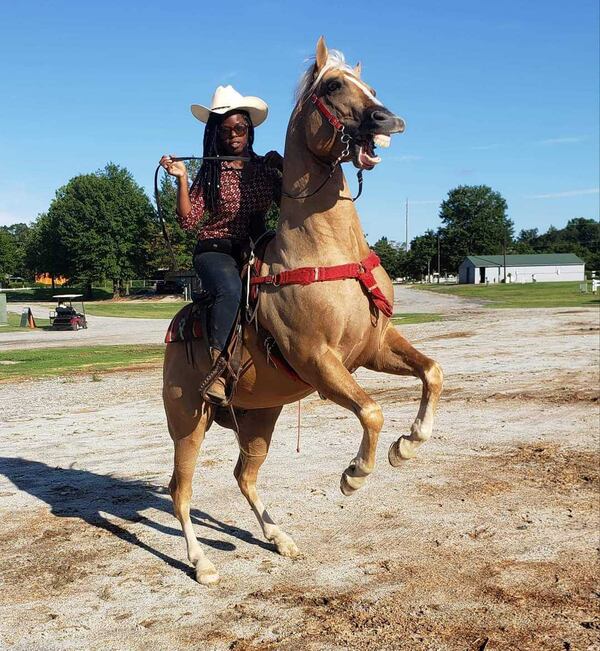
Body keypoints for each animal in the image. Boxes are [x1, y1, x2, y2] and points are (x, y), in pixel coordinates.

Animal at [162, 37, 442, 584]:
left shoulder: (374, 347)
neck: (324, 251)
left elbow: (432, 372)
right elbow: (372, 411)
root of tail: (175, 329)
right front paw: (354, 475)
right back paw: (202, 564)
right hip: (188, 420)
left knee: (245, 475)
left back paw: (280, 539)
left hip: (260, 417)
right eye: (332, 86)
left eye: (368, 85)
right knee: (180, 491)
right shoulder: (319, 360)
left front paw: (408, 445)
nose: (389, 119)